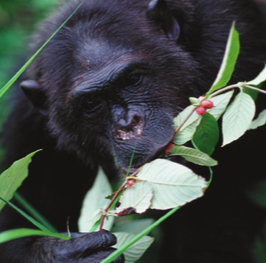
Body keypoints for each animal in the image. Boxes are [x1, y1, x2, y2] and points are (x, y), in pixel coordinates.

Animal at [0, 0, 266, 262]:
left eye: (133, 79)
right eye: (90, 103)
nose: (128, 123)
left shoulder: (234, 48)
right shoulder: (30, 126)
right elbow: (14, 222)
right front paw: (67, 254)